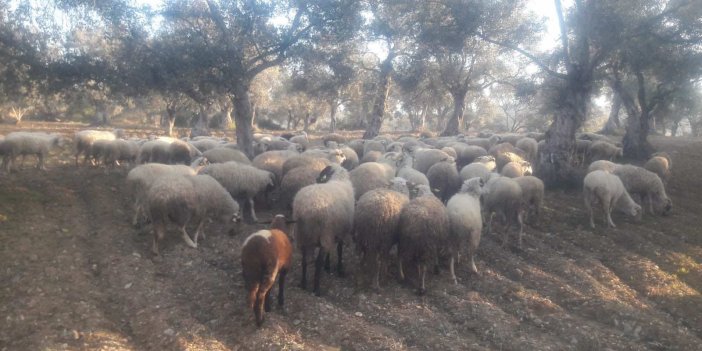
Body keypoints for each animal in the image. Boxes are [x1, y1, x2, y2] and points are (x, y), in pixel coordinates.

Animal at [292, 165, 354, 296]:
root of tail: (306, 210)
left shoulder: (333, 232)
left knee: (304, 260)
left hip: (302, 235)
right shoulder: (340, 232)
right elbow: (339, 250)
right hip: (323, 233)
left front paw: (328, 266)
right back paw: (316, 289)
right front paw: (339, 270)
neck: (339, 179)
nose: (316, 178)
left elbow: (331, 250)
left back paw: (303, 284)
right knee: (317, 262)